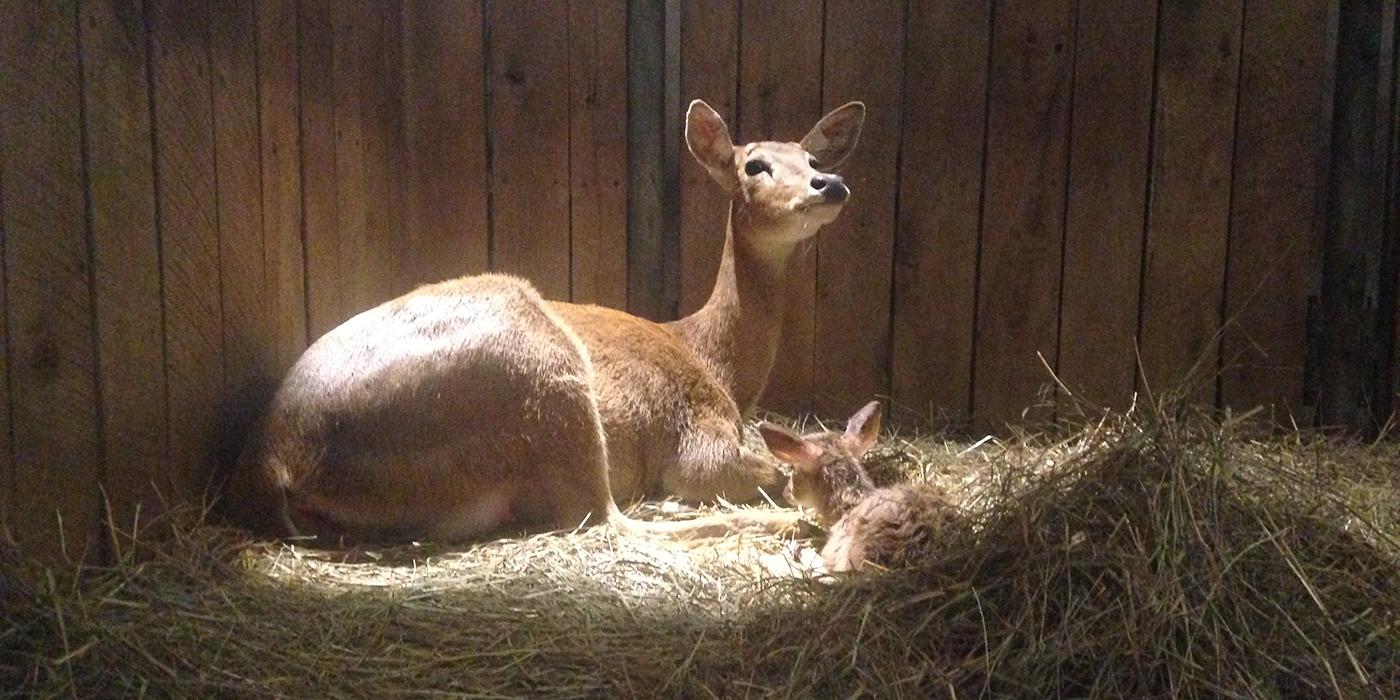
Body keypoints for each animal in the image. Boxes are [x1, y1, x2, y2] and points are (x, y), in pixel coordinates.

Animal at [226, 100, 862, 546]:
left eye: (813, 160)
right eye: (754, 165)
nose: (830, 184)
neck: (715, 358)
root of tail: (272, 458)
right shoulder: (696, 439)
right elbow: (767, 473)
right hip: (544, 379)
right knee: (607, 519)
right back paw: (777, 525)